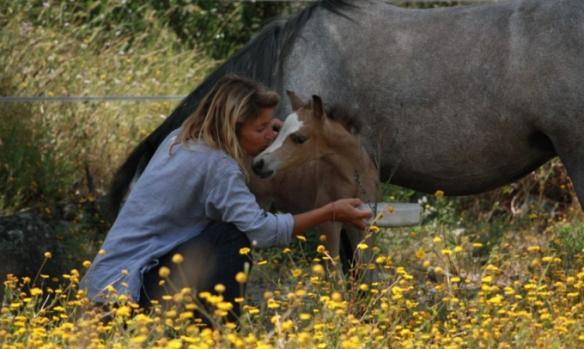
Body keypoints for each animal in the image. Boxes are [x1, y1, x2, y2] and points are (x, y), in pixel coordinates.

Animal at [249, 91, 380, 276]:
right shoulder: (329, 224)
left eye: (299, 138)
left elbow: (366, 269)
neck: (354, 178)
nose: (258, 164)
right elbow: (335, 271)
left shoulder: (364, 223)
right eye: (279, 132)